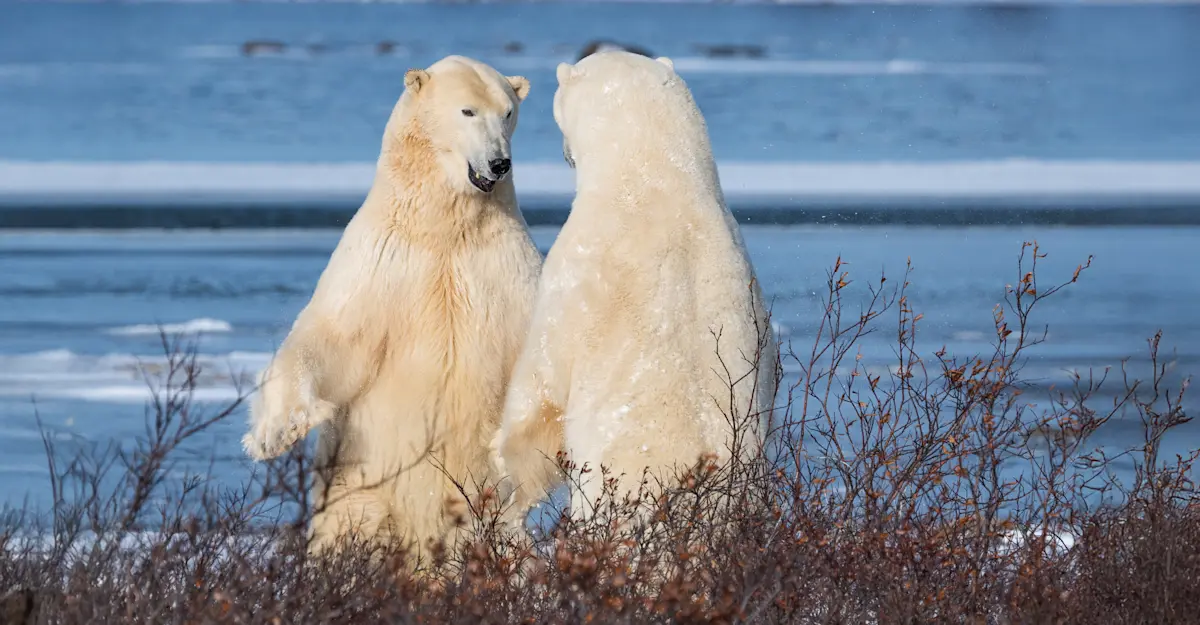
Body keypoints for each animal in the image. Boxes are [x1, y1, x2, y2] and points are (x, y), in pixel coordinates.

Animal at [241, 55, 542, 564]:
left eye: (507, 112)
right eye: (467, 111)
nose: (499, 163)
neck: (445, 227)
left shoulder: (504, 267)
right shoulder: (383, 262)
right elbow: (332, 336)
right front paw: (273, 433)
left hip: (491, 511)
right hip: (359, 487)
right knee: (347, 531)